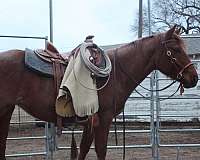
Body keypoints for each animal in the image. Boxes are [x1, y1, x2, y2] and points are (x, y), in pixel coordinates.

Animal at [0, 25, 198, 159]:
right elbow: (100, 150)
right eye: (175, 50)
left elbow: (84, 149)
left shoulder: (90, 122)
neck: (117, 72)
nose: (194, 78)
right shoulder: (103, 120)